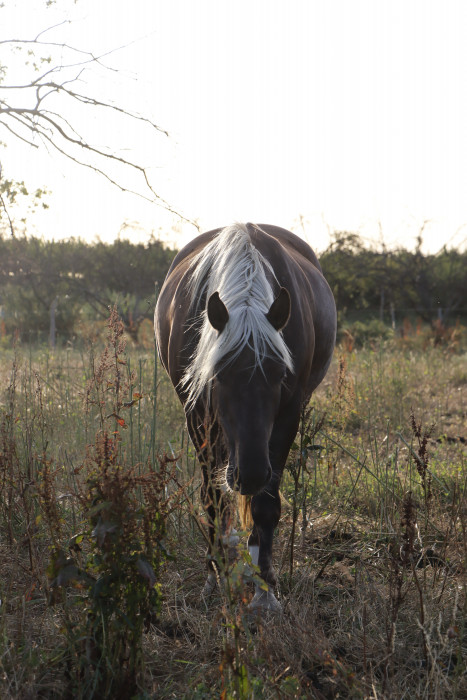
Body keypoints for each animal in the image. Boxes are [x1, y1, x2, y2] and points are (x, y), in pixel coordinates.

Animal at [156, 224, 336, 612]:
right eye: (218, 375)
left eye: (281, 374)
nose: (250, 475)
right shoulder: (196, 413)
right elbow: (212, 497)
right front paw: (215, 575)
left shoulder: (289, 413)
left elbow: (266, 506)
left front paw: (264, 590)